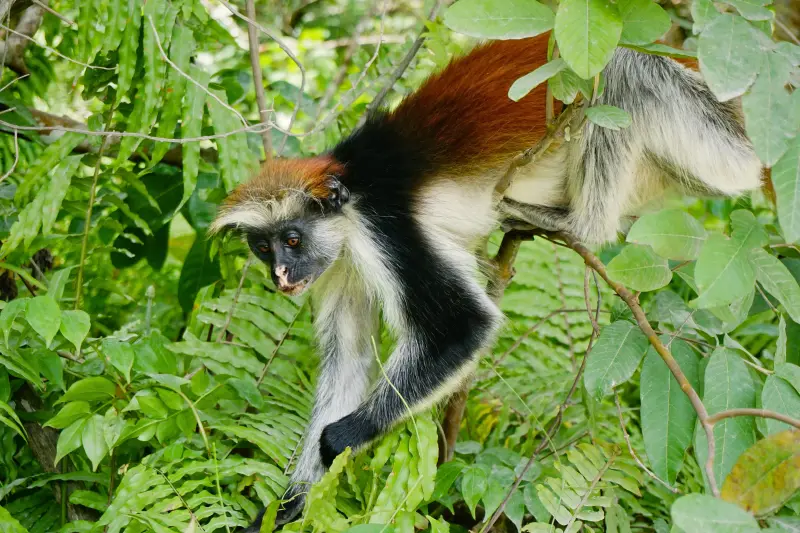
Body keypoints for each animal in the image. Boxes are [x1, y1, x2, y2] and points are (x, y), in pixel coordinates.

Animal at [210, 32, 762, 531]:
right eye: (264, 248)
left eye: (293, 239)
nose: (281, 275)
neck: (352, 184)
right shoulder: (340, 262)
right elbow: (351, 359)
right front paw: (286, 508)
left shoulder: (382, 225)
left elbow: (462, 326)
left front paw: (343, 438)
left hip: (710, 138)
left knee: (623, 67)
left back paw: (573, 222)